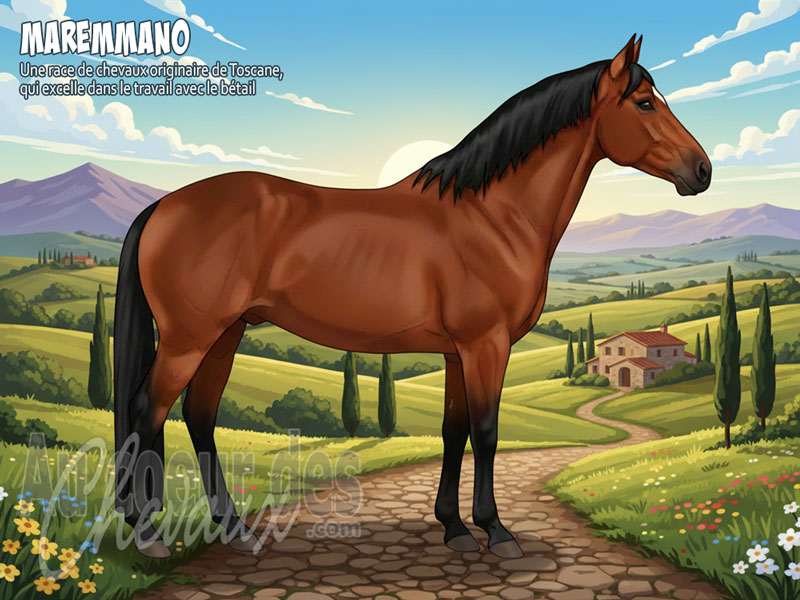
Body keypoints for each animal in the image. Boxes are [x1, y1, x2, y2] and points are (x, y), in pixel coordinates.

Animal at [114, 34, 711, 558]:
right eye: (644, 103)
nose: (702, 170)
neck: (492, 215)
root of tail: (164, 205)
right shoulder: (486, 344)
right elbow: (486, 433)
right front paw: (497, 532)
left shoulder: (457, 352)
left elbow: (453, 431)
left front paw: (454, 528)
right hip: (190, 339)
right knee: (148, 411)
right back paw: (147, 534)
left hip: (226, 333)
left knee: (199, 417)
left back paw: (233, 529)